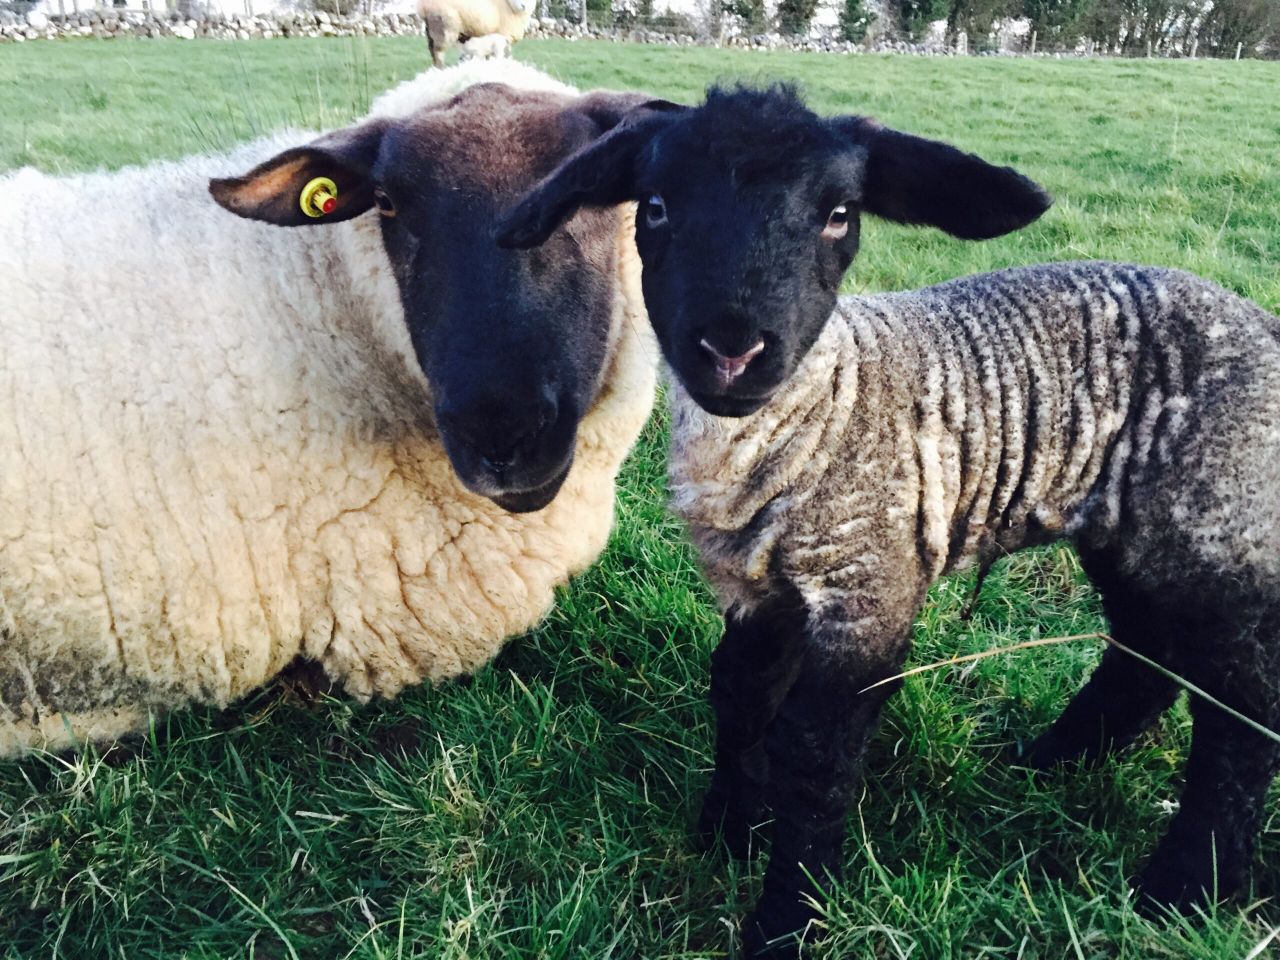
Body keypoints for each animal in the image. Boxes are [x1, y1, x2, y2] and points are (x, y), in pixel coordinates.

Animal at [497, 84, 1280, 956]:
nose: (732, 348)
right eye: (657, 206)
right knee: (1145, 654)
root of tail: (1261, 324)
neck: (818, 410)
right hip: (1132, 528)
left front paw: (786, 918)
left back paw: (1186, 887)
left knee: (1242, 712)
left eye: (839, 214)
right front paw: (728, 835)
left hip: (1218, 521)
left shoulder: (868, 583)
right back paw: (1044, 767)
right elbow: (739, 696)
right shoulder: (758, 588)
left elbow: (817, 754)